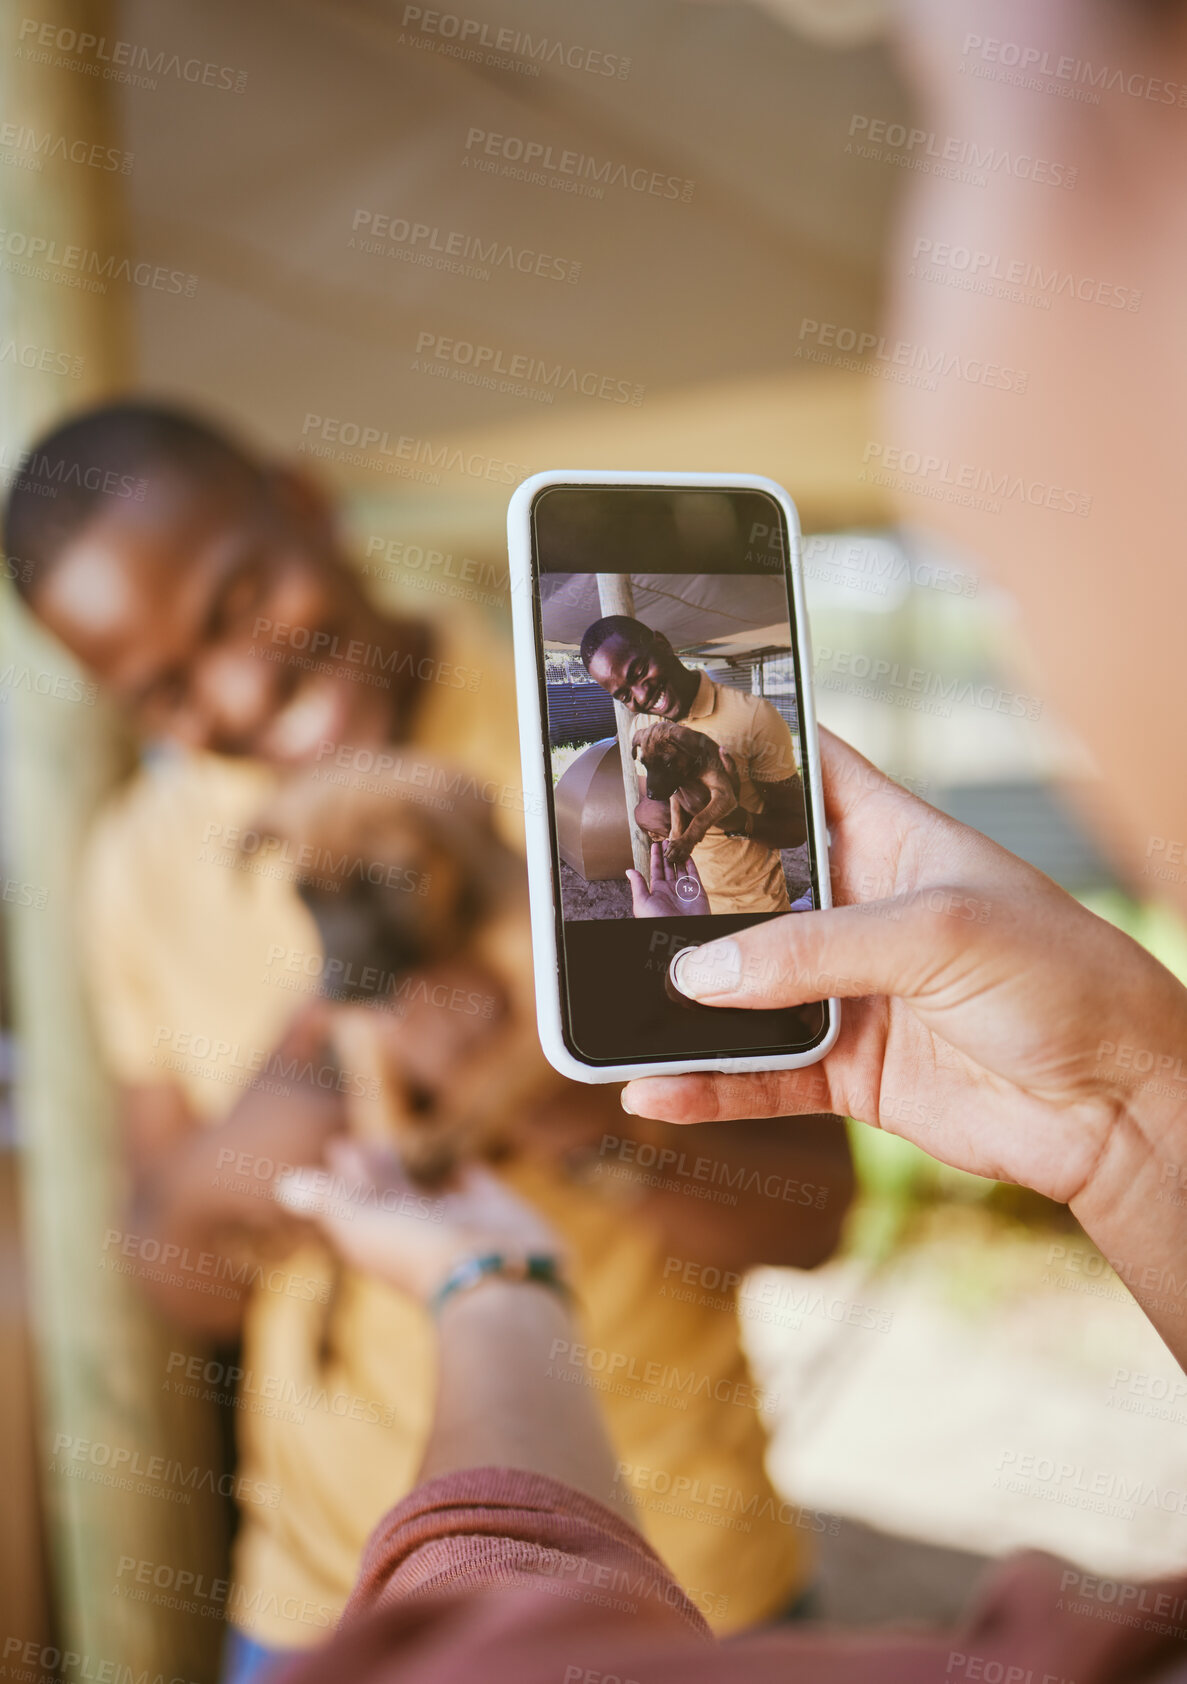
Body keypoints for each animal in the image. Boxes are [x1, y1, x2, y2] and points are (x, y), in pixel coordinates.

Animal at [629, 717, 740, 868]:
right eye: (644, 764)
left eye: (668, 763)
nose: (652, 796)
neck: (690, 774)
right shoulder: (674, 794)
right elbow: (676, 817)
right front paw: (674, 838)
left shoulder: (724, 793)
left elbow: (700, 818)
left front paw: (681, 846)